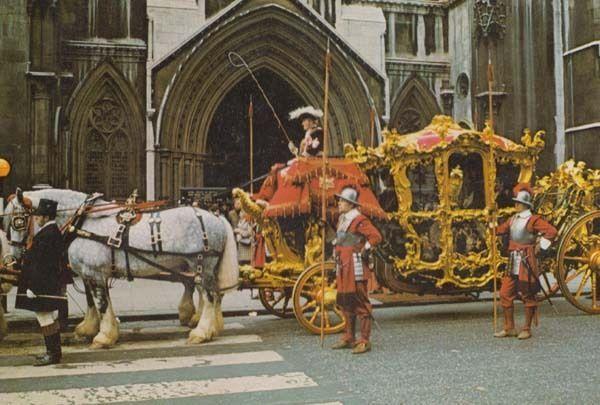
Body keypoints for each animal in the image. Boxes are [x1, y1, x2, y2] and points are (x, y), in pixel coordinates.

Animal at [4, 189, 240, 348]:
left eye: (18, 221)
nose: (14, 258)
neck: (84, 222)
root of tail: (216, 216)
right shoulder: (89, 274)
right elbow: (93, 302)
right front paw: (88, 329)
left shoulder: (95, 273)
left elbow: (102, 304)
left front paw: (104, 336)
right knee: (213, 295)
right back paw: (213, 327)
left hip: (200, 265)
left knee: (209, 297)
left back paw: (201, 332)